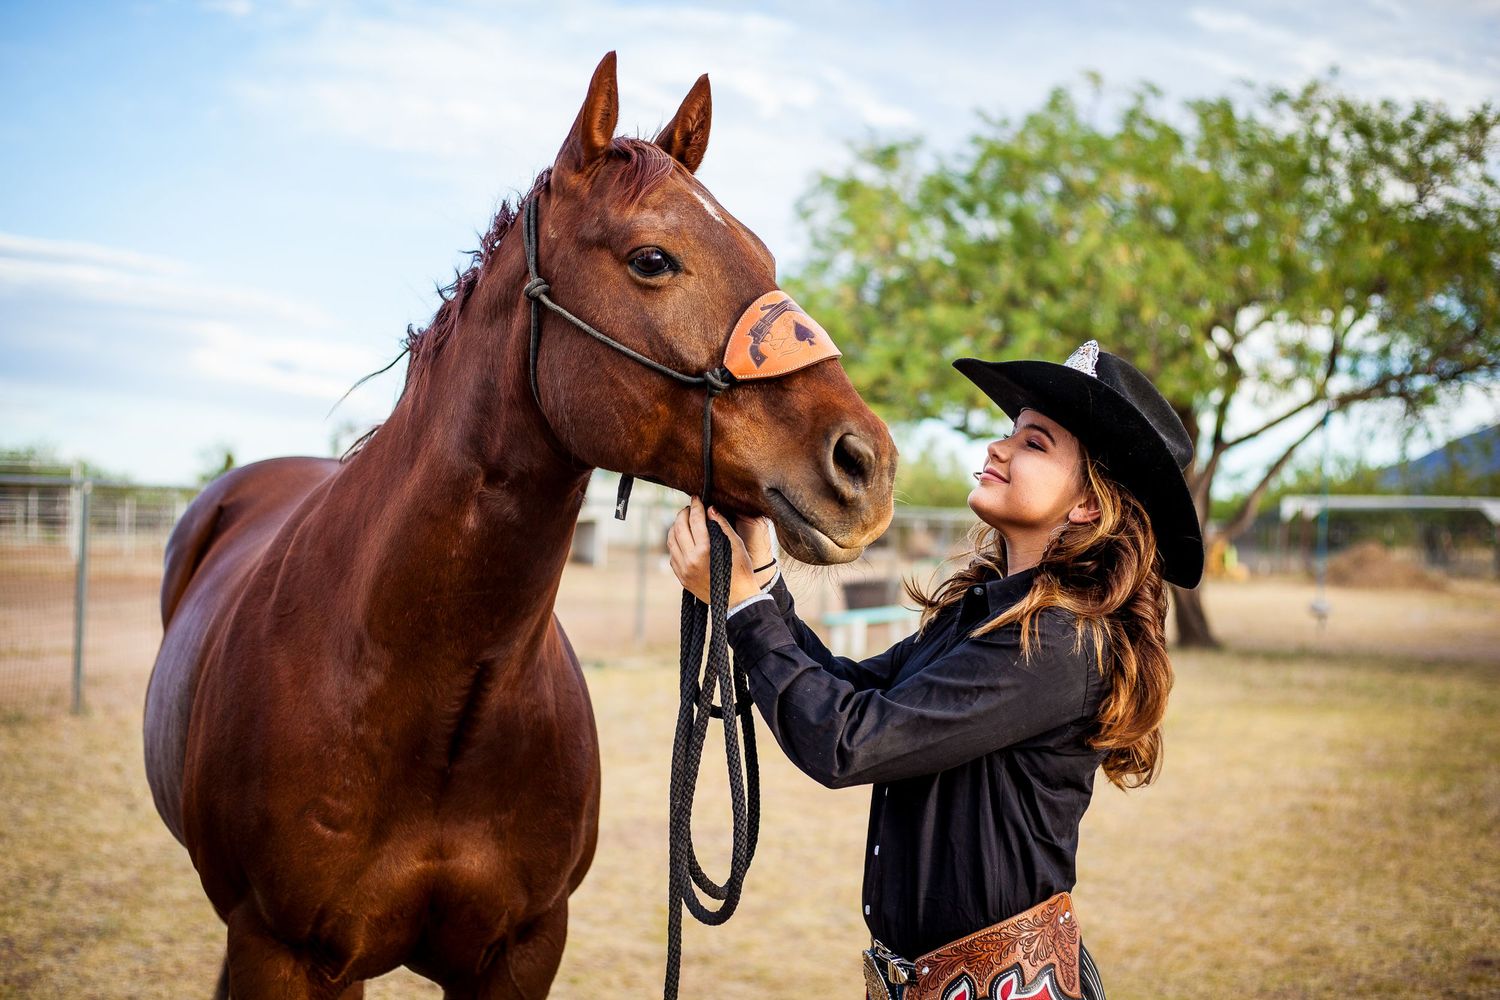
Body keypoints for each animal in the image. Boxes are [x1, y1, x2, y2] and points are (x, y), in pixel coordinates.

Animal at [143, 52, 896, 998]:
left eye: (761, 253)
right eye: (654, 259)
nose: (866, 466)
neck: (417, 687)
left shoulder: (525, 950)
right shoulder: (284, 953)